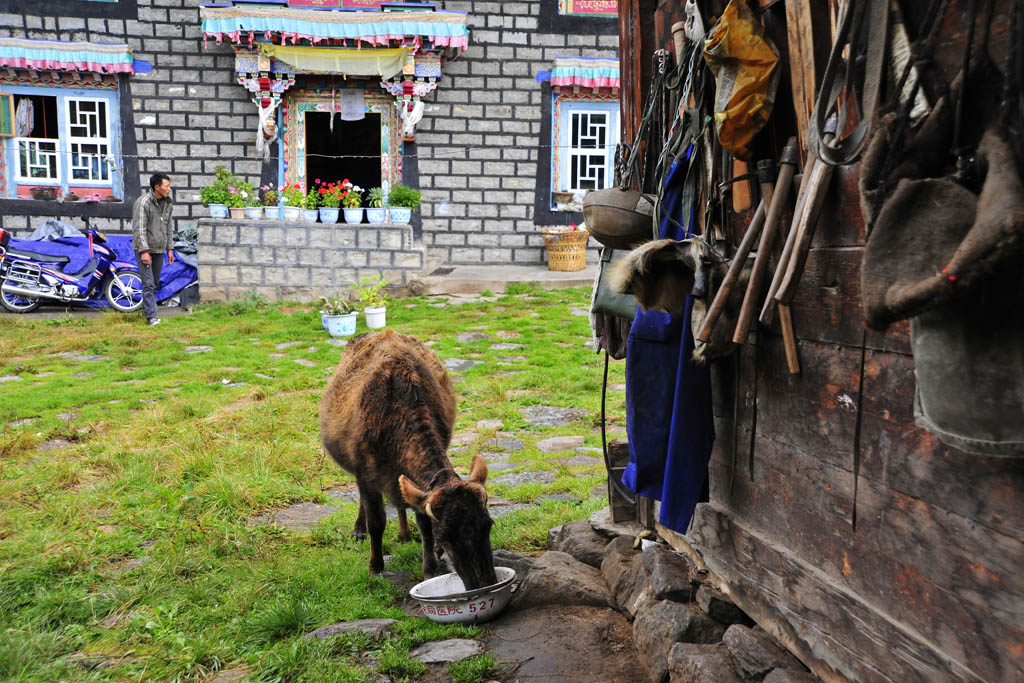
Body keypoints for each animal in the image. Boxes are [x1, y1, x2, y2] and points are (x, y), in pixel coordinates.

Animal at [317, 327, 497, 589]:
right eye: (446, 537)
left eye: (488, 525)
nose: (485, 584)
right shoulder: (365, 474)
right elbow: (377, 520)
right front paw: (375, 566)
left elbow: (422, 520)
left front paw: (430, 567)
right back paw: (359, 530)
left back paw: (404, 533)